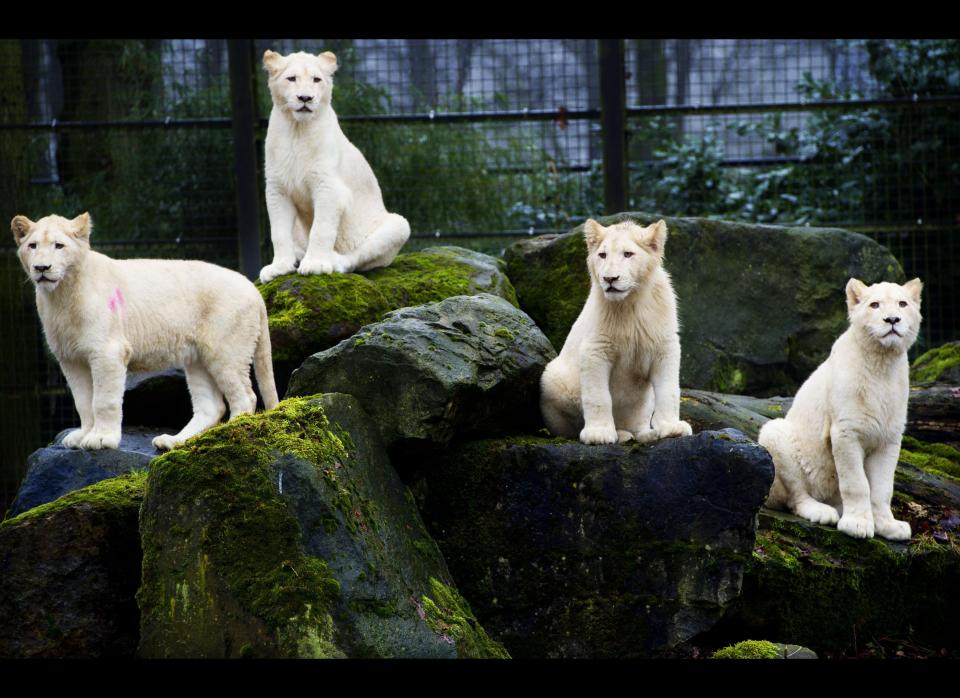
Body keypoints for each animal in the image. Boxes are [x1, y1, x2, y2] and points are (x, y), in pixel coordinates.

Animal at [13, 212, 280, 452]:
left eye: (59, 245)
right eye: (32, 246)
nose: (41, 267)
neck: (61, 295)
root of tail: (252, 288)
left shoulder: (108, 351)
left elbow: (103, 400)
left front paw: (102, 439)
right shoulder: (70, 359)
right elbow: (83, 401)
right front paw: (82, 436)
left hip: (226, 350)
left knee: (246, 397)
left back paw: (226, 435)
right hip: (197, 358)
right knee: (212, 406)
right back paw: (175, 442)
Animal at [256, 48, 410, 282]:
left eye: (316, 79)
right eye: (291, 78)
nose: (305, 98)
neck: (297, 131)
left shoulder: (329, 187)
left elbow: (321, 229)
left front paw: (316, 264)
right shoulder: (277, 189)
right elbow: (279, 232)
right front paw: (279, 267)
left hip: (399, 225)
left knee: (355, 260)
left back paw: (333, 260)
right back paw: (298, 256)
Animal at [540, 218, 688, 444]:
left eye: (628, 254)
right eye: (603, 255)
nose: (610, 279)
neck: (630, 304)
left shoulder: (664, 346)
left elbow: (669, 390)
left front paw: (672, 428)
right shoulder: (595, 348)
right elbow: (598, 396)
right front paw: (598, 434)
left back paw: (646, 434)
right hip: (552, 377)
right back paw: (621, 435)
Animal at [756, 276, 924, 540]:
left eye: (902, 304)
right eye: (875, 305)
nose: (892, 320)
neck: (882, 364)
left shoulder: (889, 438)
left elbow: (882, 487)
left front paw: (887, 525)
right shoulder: (845, 431)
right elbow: (856, 482)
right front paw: (857, 524)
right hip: (775, 434)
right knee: (796, 497)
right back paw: (823, 512)